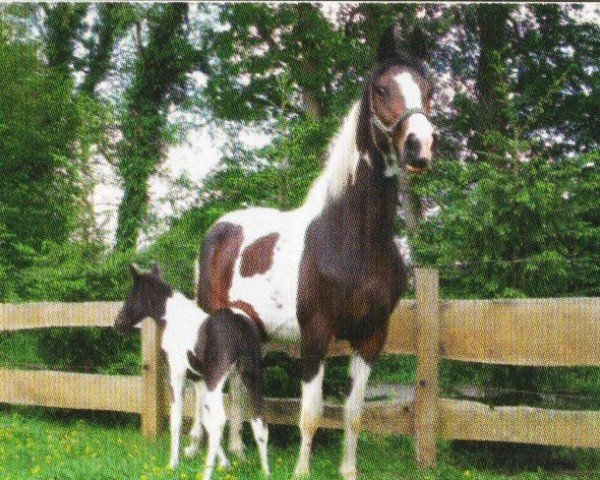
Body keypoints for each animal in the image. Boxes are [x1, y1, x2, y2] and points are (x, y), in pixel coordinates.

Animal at [197, 27, 436, 480]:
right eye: (381, 88)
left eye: (429, 90)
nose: (421, 146)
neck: (350, 243)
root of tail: (219, 229)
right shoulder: (316, 335)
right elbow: (310, 413)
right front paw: (301, 472)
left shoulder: (371, 337)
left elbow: (353, 414)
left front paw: (349, 471)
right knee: (204, 385)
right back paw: (205, 452)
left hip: (249, 330)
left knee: (236, 385)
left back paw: (236, 451)